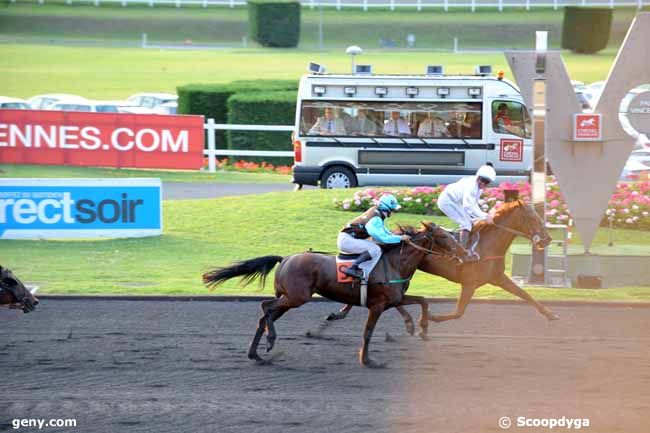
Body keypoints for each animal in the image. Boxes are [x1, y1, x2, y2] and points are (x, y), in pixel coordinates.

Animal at [200, 221, 464, 366]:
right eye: (443, 236)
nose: (462, 252)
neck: (393, 263)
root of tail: (285, 258)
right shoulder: (378, 305)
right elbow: (368, 332)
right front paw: (368, 360)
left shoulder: (394, 299)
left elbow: (423, 301)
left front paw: (423, 329)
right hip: (296, 297)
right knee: (265, 309)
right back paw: (270, 341)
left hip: (287, 298)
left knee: (264, 316)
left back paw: (256, 354)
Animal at [326, 199, 560, 330]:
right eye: (532, 218)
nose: (547, 239)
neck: (486, 246)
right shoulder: (470, 284)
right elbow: (458, 312)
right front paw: (432, 317)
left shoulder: (498, 278)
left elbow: (526, 295)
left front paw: (551, 315)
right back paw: (341, 311)